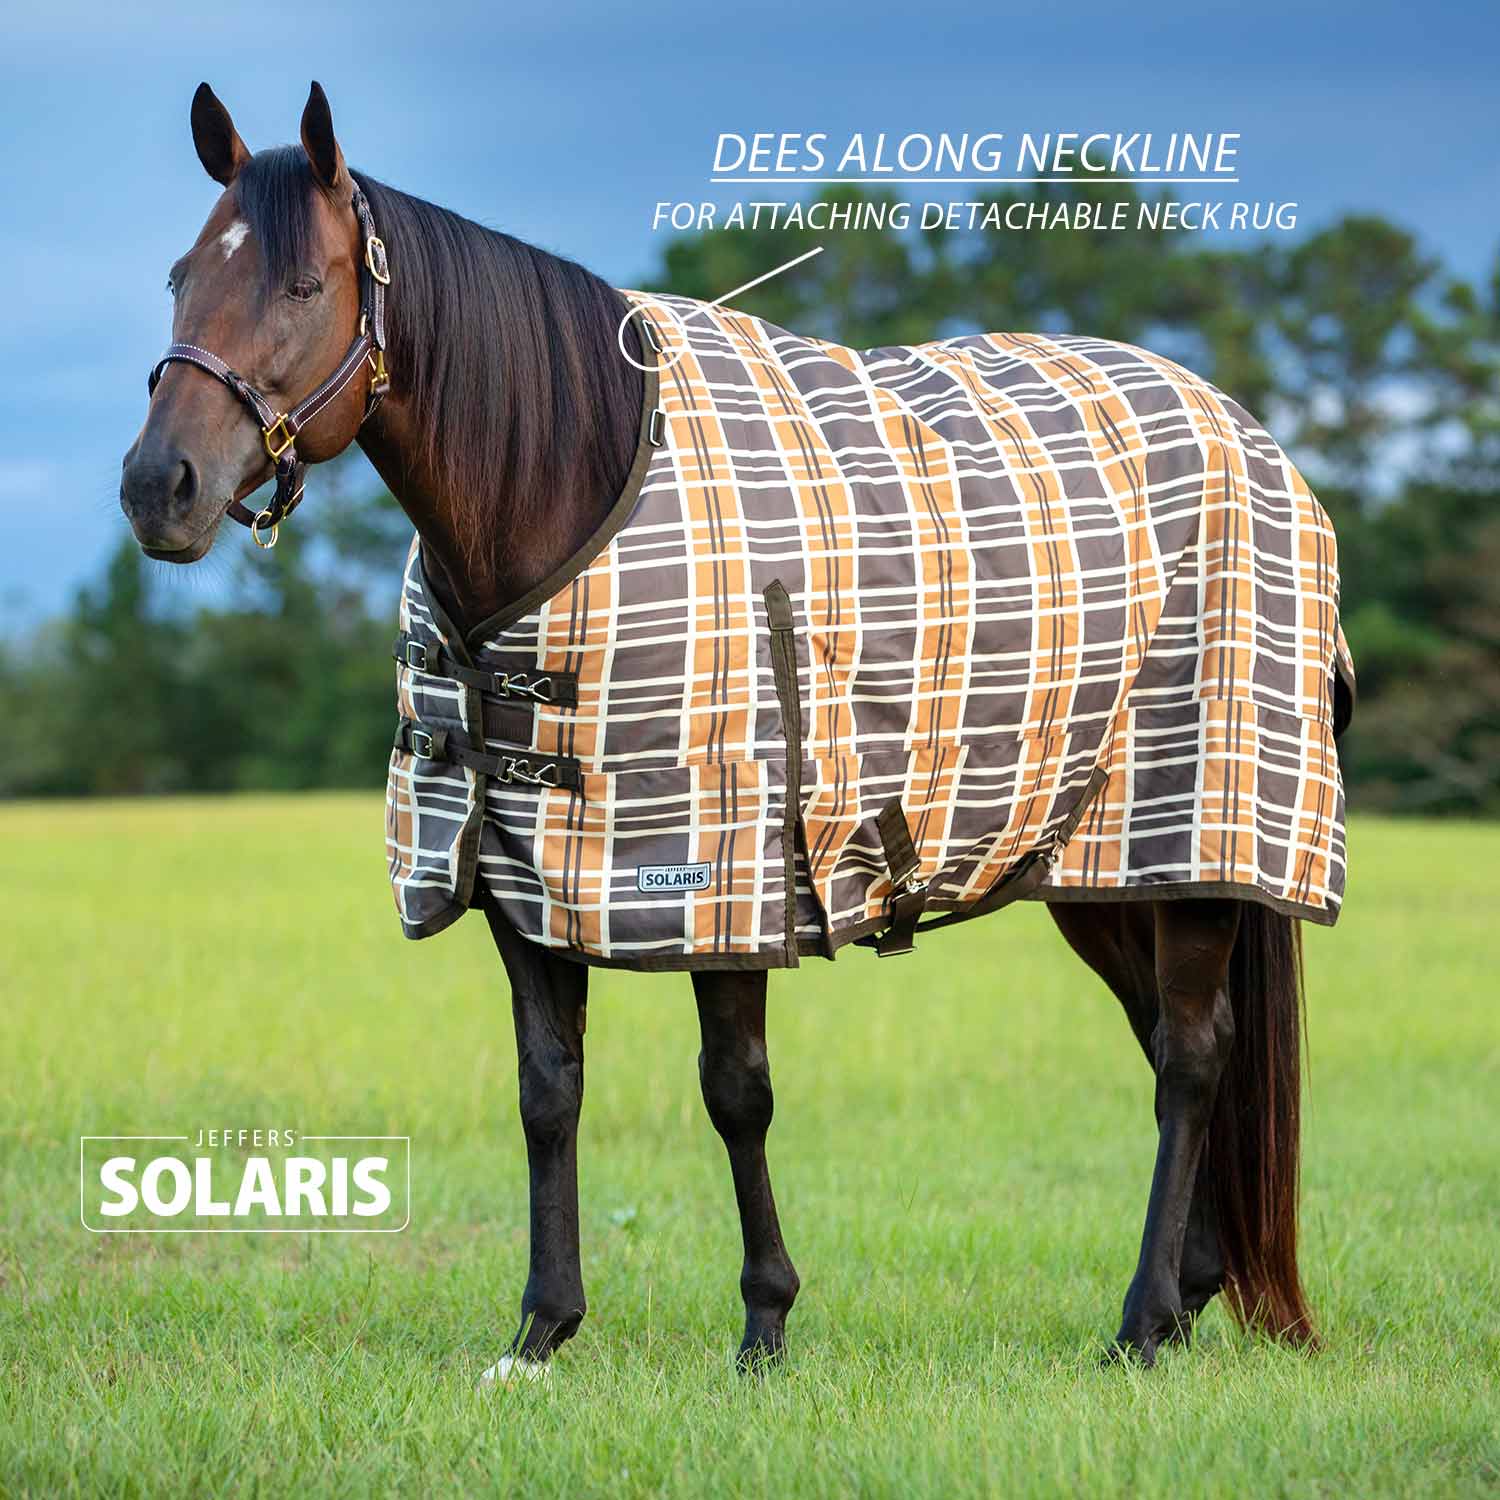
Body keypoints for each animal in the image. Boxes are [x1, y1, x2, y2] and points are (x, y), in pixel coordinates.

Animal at [121, 82, 1351, 1379]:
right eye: (180, 277)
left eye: (306, 287)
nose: (160, 487)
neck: (572, 488)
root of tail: (1250, 435)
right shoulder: (515, 869)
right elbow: (548, 1091)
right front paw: (543, 1328)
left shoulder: (724, 871)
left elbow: (734, 1091)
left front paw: (764, 1322)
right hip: (1099, 862)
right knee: (1172, 1037)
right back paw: (1189, 1293)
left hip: (1200, 841)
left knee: (1192, 1059)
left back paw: (1139, 1323)